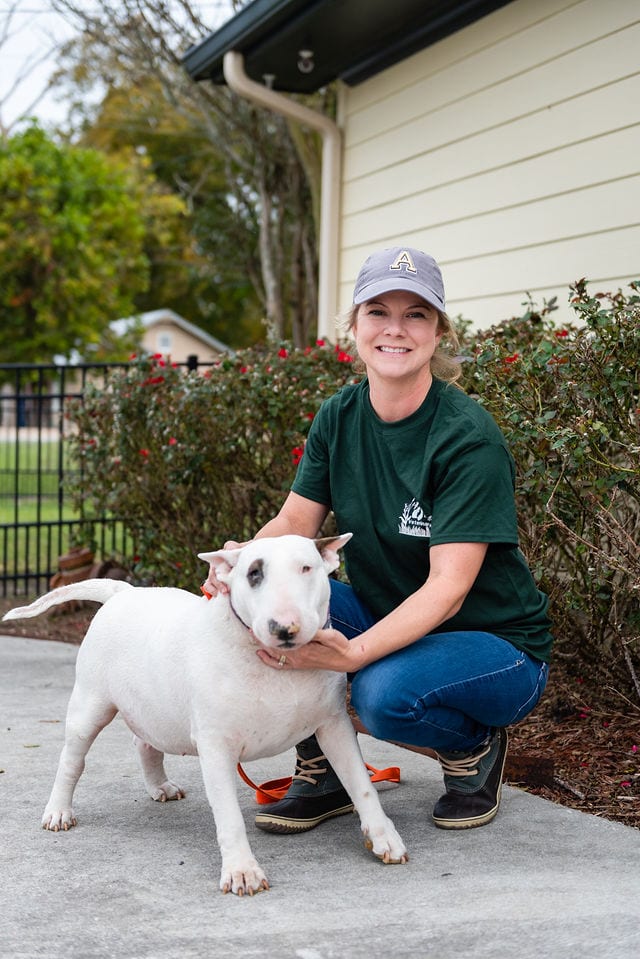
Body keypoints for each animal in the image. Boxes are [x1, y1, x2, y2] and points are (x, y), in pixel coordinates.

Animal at [3, 536, 404, 896]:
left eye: (306, 568)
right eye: (253, 573)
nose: (283, 627)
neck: (277, 665)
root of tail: (122, 592)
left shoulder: (334, 725)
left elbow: (362, 785)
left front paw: (385, 838)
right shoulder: (216, 746)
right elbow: (228, 815)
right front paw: (242, 872)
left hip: (154, 704)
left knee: (144, 741)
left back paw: (160, 786)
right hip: (90, 705)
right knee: (73, 760)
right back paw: (58, 811)